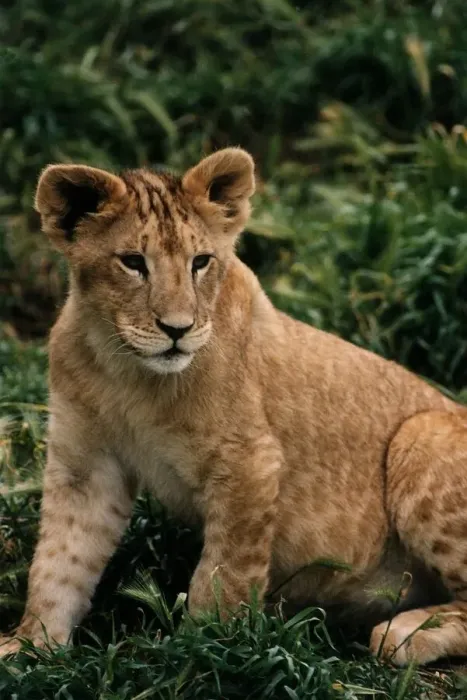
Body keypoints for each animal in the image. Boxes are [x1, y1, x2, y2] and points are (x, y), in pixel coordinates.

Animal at [2, 147, 467, 666]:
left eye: (201, 262)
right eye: (133, 263)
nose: (177, 329)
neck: (125, 368)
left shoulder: (249, 462)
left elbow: (222, 576)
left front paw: (204, 652)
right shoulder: (85, 464)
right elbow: (59, 562)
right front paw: (32, 647)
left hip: (419, 435)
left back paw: (405, 633)